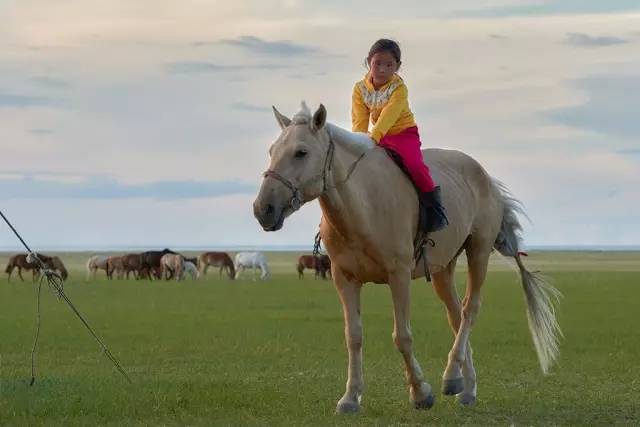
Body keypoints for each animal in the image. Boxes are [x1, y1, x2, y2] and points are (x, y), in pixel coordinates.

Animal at [252, 102, 564, 412]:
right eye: (271, 151)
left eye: (301, 152)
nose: (262, 208)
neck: (363, 206)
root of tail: (486, 177)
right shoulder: (344, 278)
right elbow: (353, 336)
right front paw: (351, 397)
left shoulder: (398, 275)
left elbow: (402, 336)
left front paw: (420, 393)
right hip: (442, 268)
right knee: (456, 316)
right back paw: (466, 387)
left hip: (479, 251)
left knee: (470, 310)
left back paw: (452, 376)